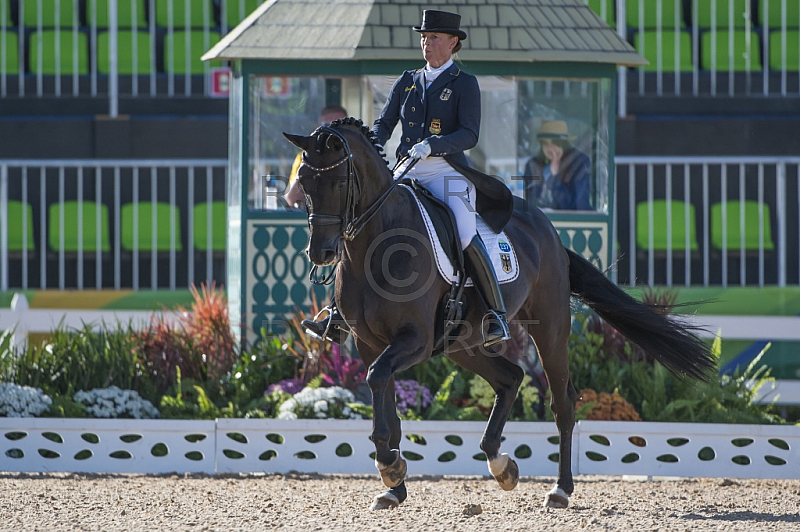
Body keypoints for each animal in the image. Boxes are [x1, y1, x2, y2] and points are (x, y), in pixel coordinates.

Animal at [282, 117, 712, 512]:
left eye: (339, 183)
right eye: (303, 181)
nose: (321, 253)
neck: (375, 245)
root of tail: (550, 233)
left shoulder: (414, 341)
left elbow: (377, 380)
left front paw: (390, 466)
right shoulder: (371, 344)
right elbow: (381, 390)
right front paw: (393, 483)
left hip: (550, 330)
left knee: (562, 405)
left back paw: (560, 489)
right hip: (461, 345)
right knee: (511, 378)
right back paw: (501, 464)